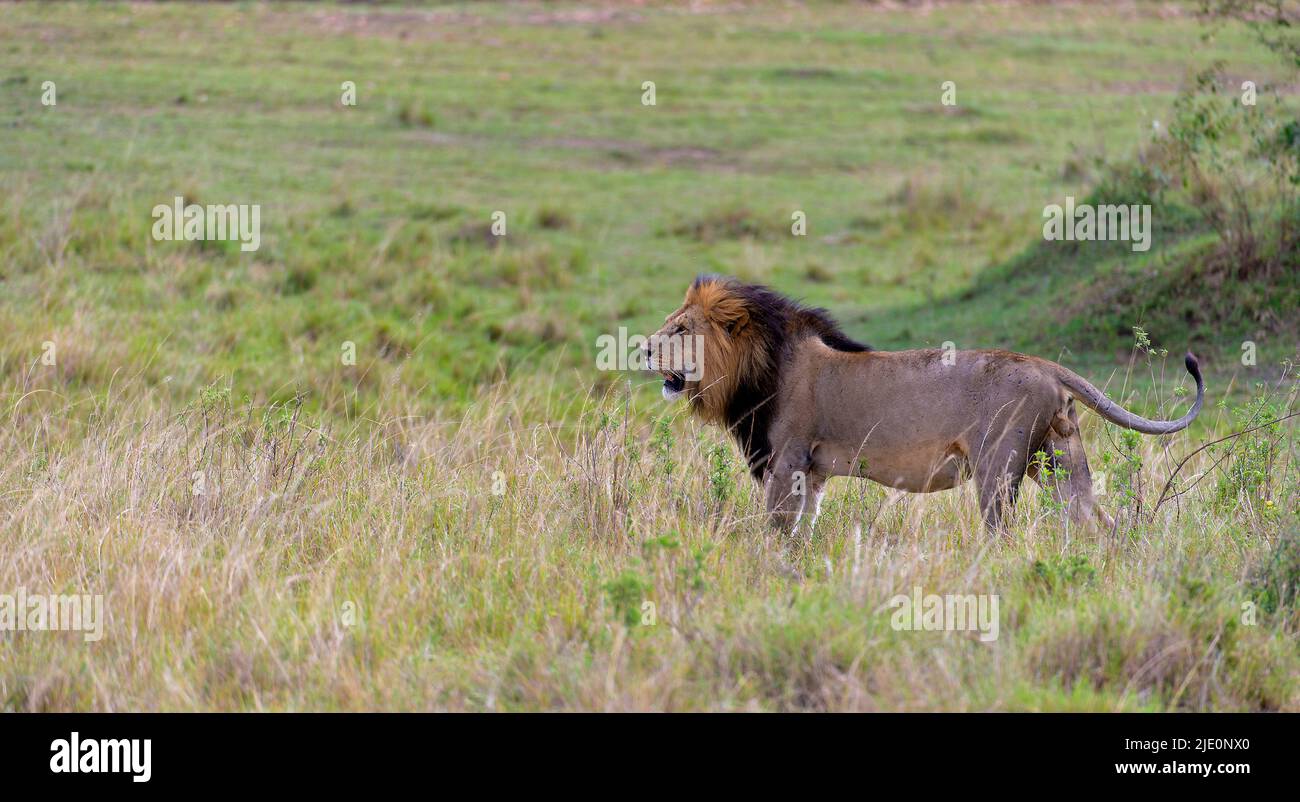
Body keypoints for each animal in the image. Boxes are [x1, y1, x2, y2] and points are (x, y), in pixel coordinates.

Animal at [644, 275, 1205, 534]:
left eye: (680, 329)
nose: (643, 347)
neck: (760, 364)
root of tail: (1046, 365)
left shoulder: (787, 460)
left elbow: (778, 529)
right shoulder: (812, 472)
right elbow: (805, 528)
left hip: (997, 465)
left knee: (1003, 533)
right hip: (1060, 457)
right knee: (1095, 520)